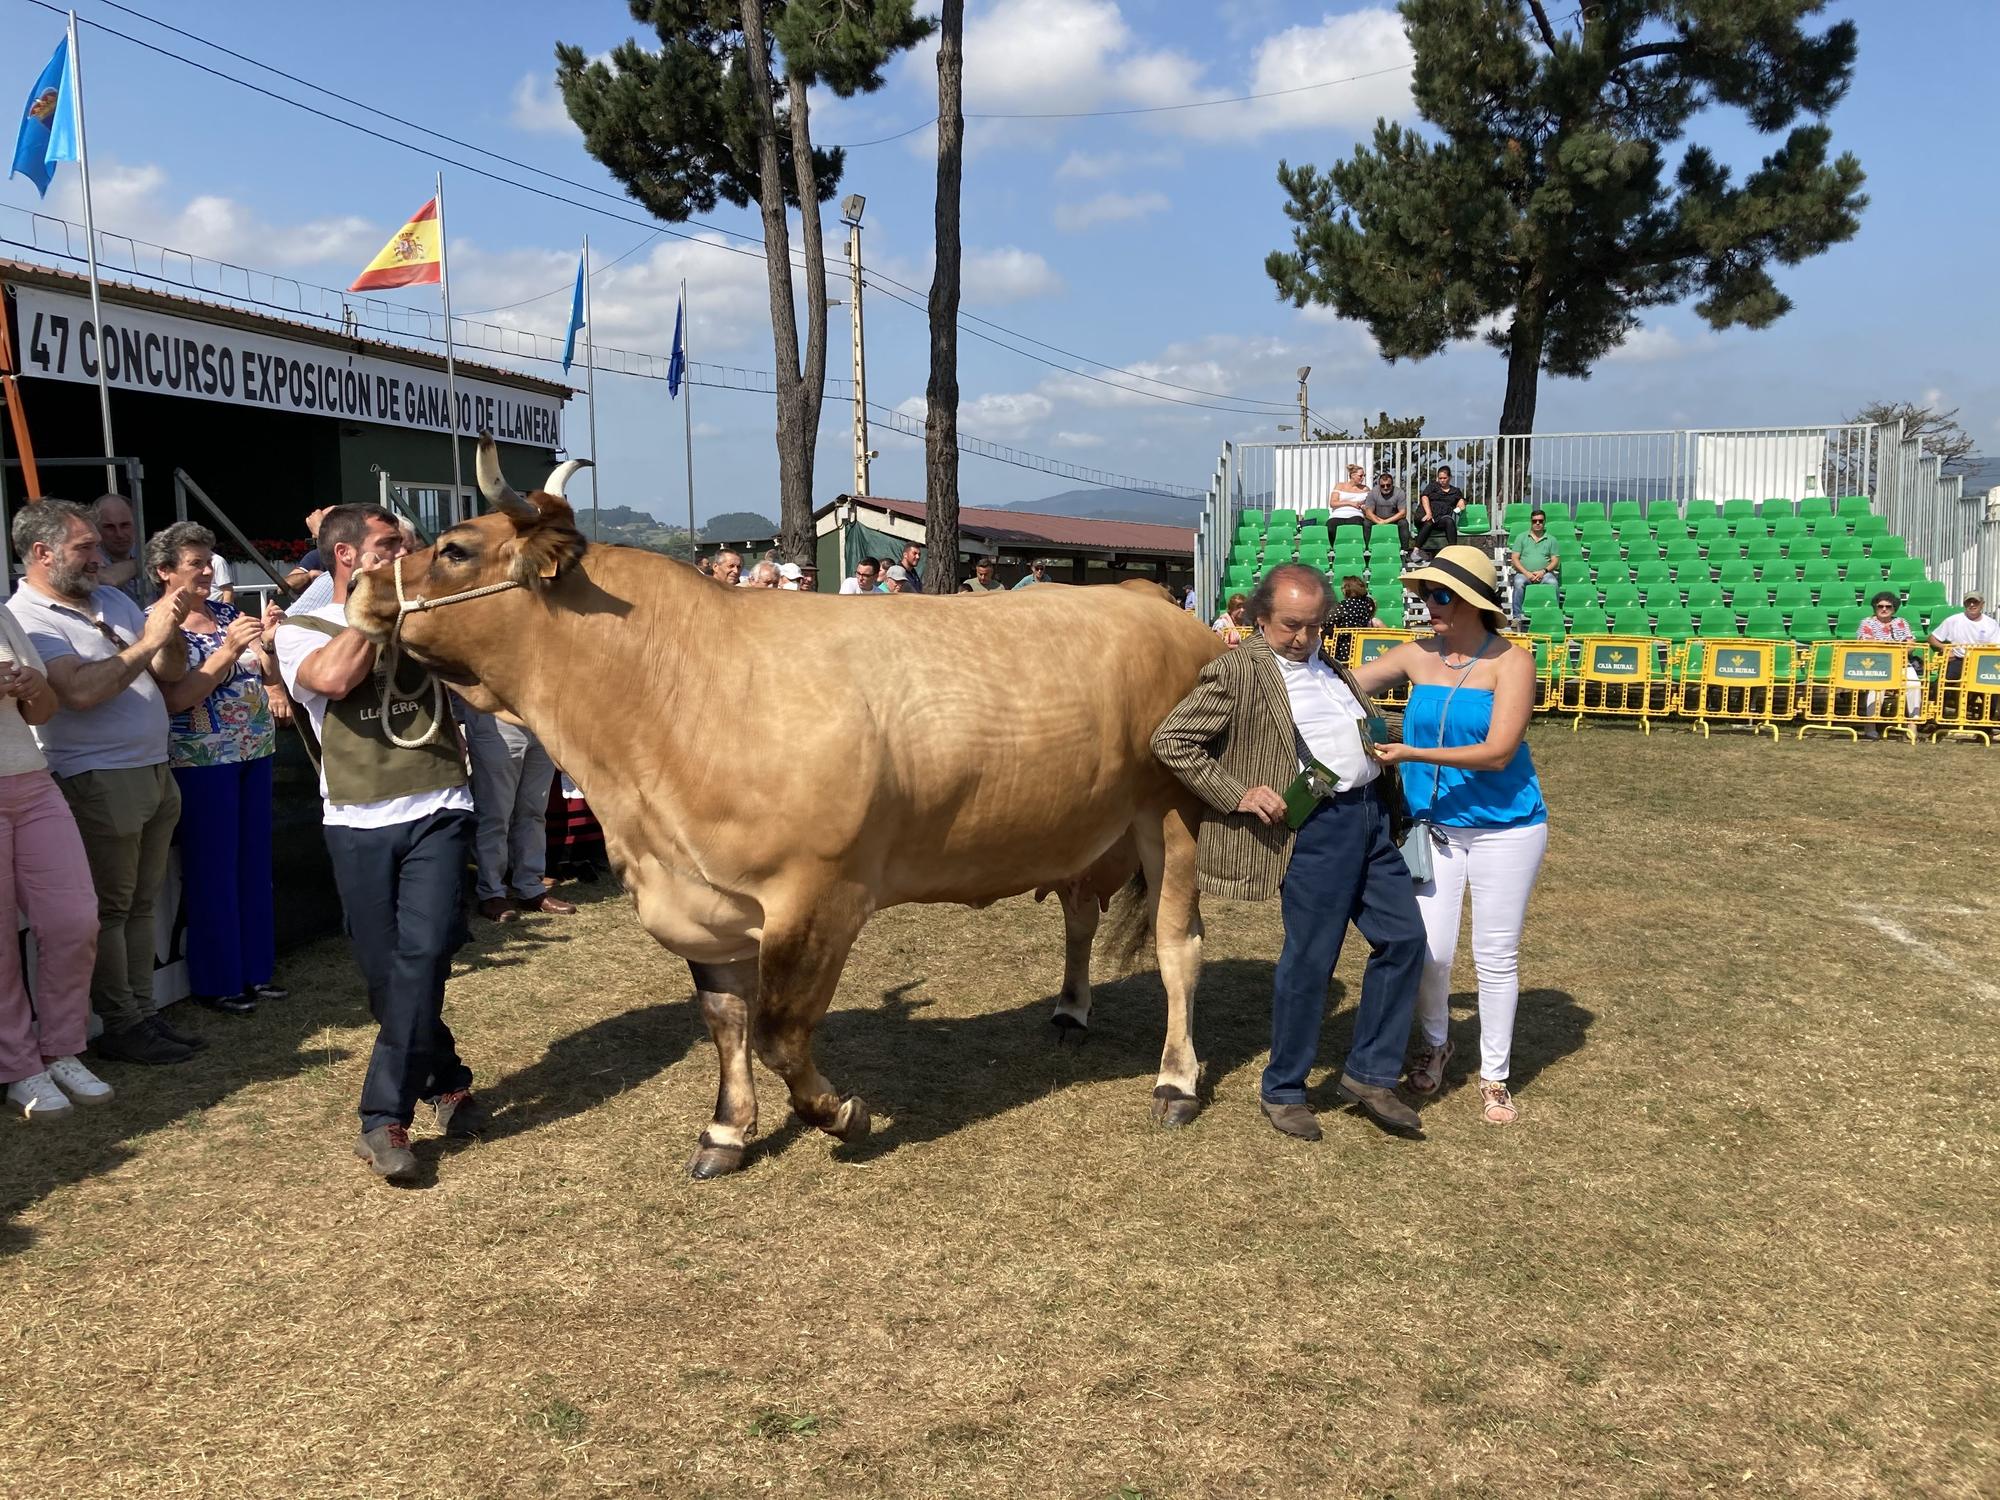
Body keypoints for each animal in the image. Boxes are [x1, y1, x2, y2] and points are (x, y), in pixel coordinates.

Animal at [346, 440, 1216, 1184]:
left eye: (455, 549)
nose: (357, 588)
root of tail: (1152, 600)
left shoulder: (819, 893)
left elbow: (778, 1030)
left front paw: (841, 1115)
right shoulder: (704, 898)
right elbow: (725, 1020)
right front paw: (726, 1132)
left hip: (1171, 812)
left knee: (1178, 945)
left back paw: (1176, 1082)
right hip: (1089, 825)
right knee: (1080, 911)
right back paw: (1070, 1009)